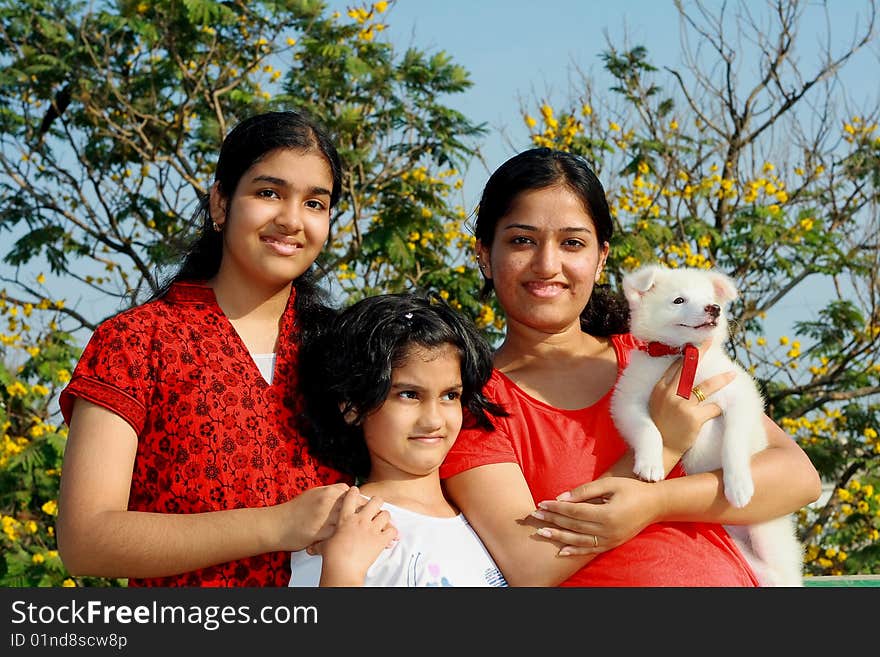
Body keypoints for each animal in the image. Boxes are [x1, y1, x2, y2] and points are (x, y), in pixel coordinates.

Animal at [612, 264, 804, 588]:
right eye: (679, 300)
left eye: (711, 298)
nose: (714, 308)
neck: (684, 356)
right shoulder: (627, 401)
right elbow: (648, 428)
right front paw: (650, 463)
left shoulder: (740, 396)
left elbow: (734, 441)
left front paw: (738, 483)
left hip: (767, 534)